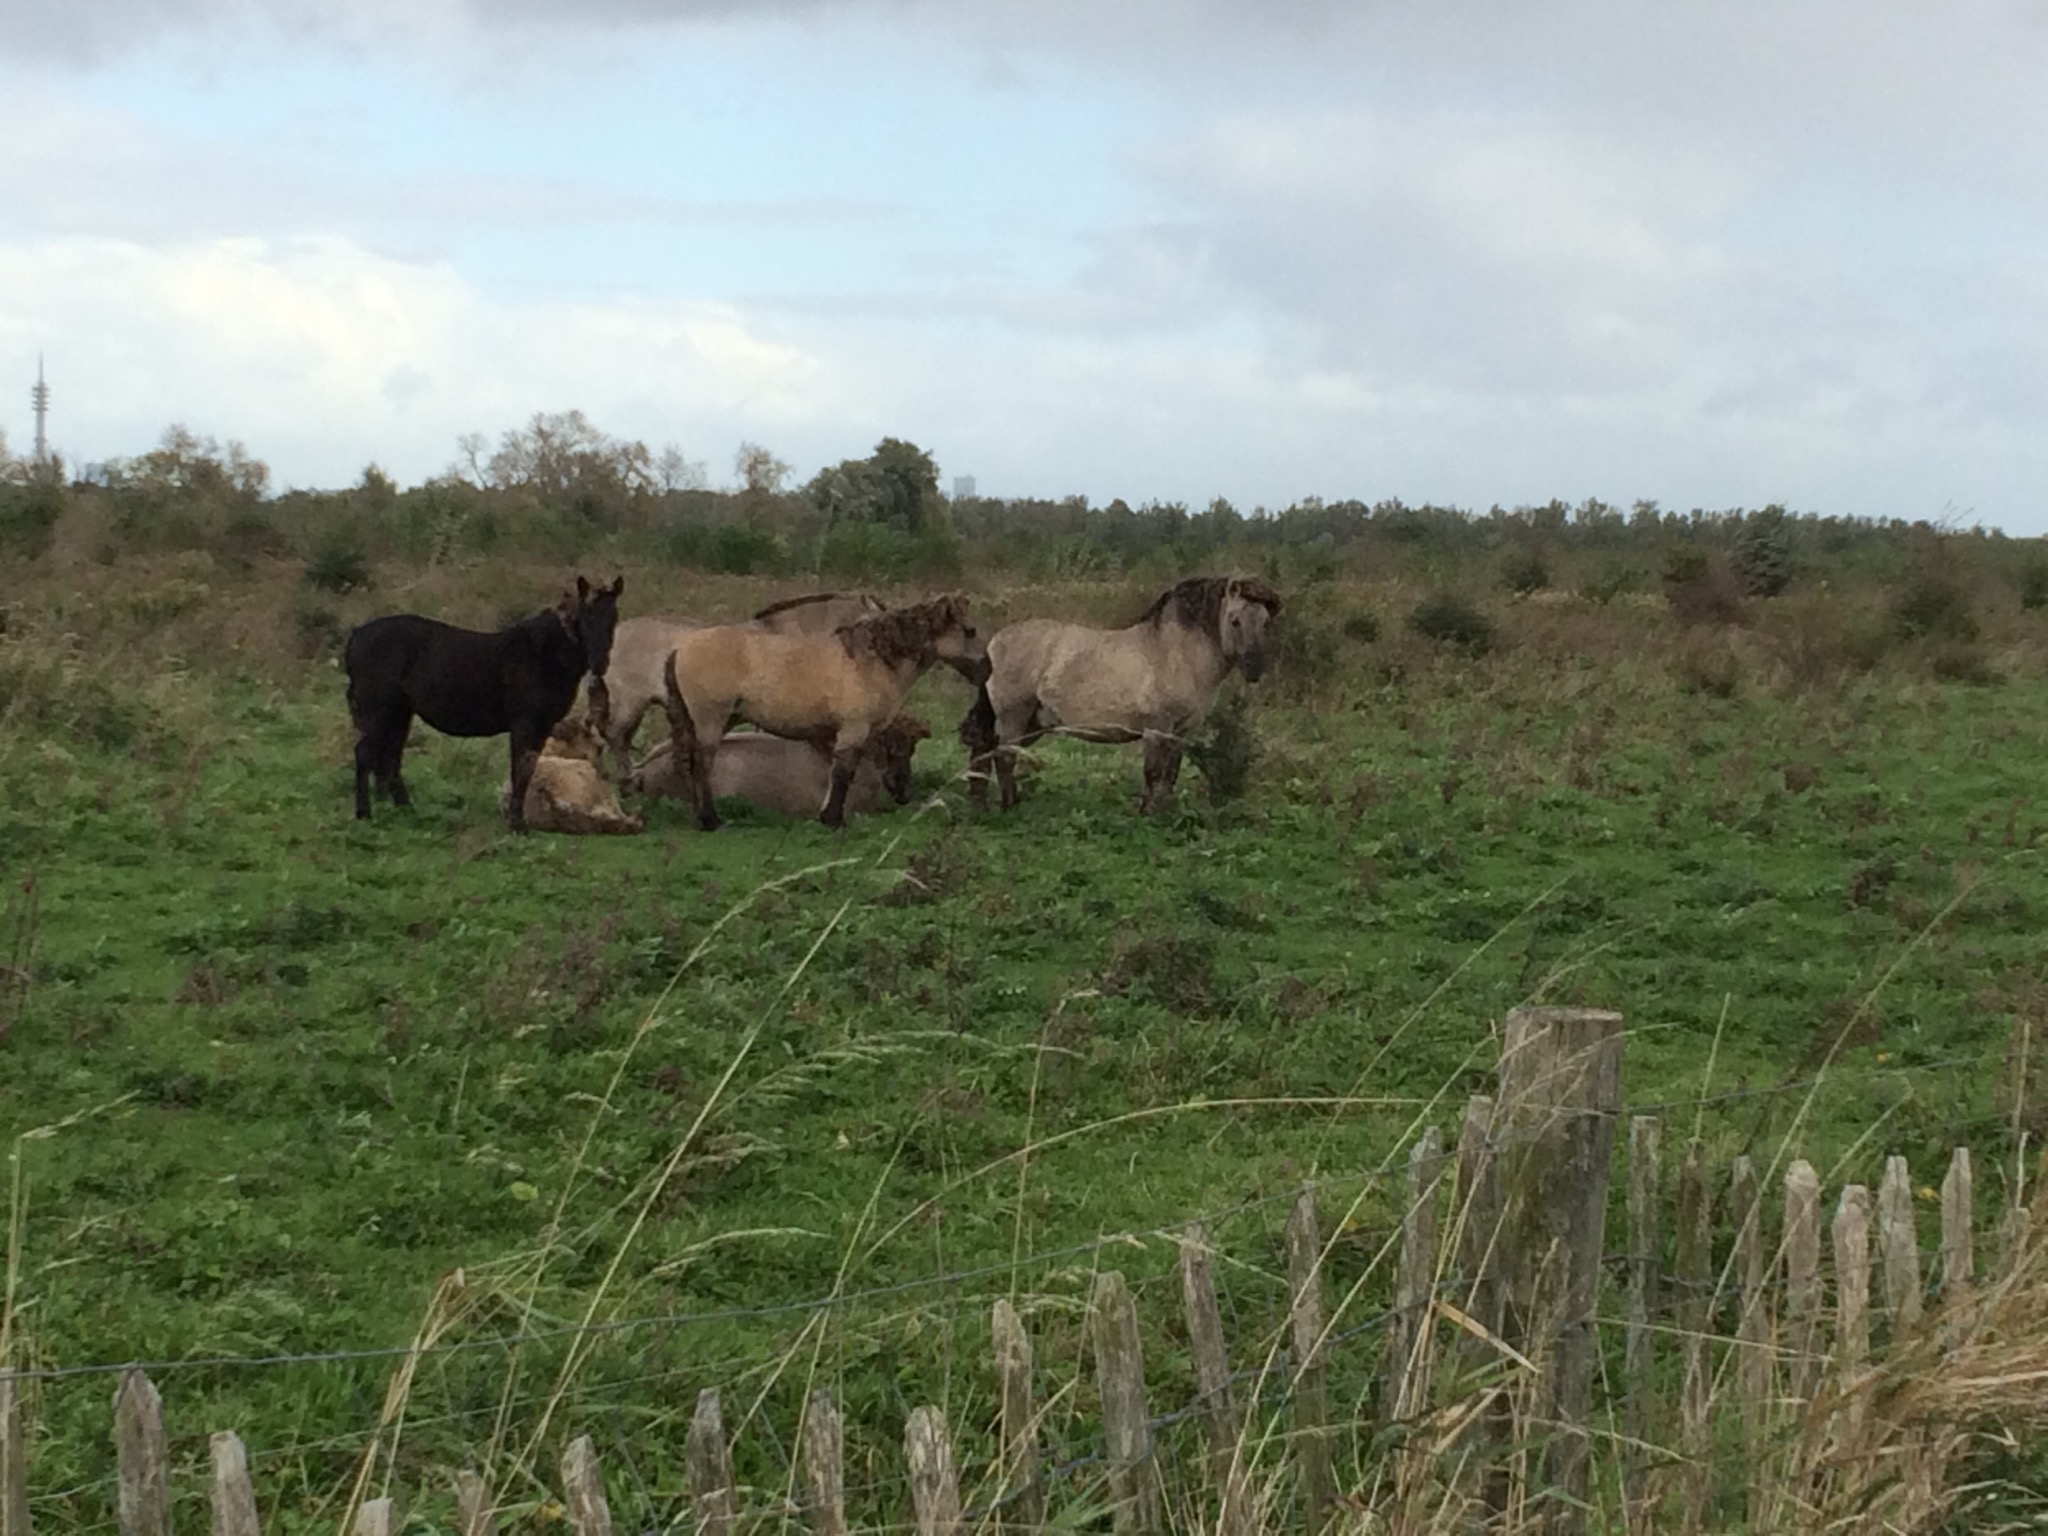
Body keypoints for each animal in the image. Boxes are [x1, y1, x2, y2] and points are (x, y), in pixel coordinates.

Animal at [345, 575, 624, 831]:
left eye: (614, 617)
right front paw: (517, 825)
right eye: (585, 618)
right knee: (365, 754)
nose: (600, 664)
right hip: (378, 710)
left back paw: (407, 811)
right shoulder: (524, 723)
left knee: (390, 758)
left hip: (399, 712)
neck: (545, 655)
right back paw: (364, 814)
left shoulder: (543, 726)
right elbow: (520, 769)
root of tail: (355, 636)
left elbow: (528, 769)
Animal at [961, 574, 1280, 813]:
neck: (1177, 653)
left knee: (986, 750)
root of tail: (995, 641)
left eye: (1266, 622)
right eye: (1235, 620)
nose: (1254, 668)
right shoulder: (1158, 727)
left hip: (1033, 721)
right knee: (1004, 757)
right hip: (1014, 717)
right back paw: (1010, 805)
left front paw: (1166, 813)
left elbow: (1170, 773)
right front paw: (1147, 815)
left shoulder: (1182, 731)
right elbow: (1153, 772)